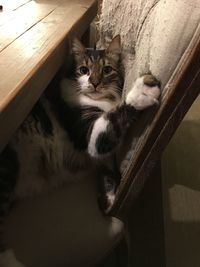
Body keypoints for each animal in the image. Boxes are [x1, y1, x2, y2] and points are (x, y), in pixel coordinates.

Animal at [0, 35, 160, 267]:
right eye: (84, 70)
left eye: (107, 70)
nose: (94, 82)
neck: (102, 103)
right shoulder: (91, 138)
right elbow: (115, 115)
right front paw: (144, 89)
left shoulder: (105, 159)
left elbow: (110, 176)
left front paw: (108, 199)